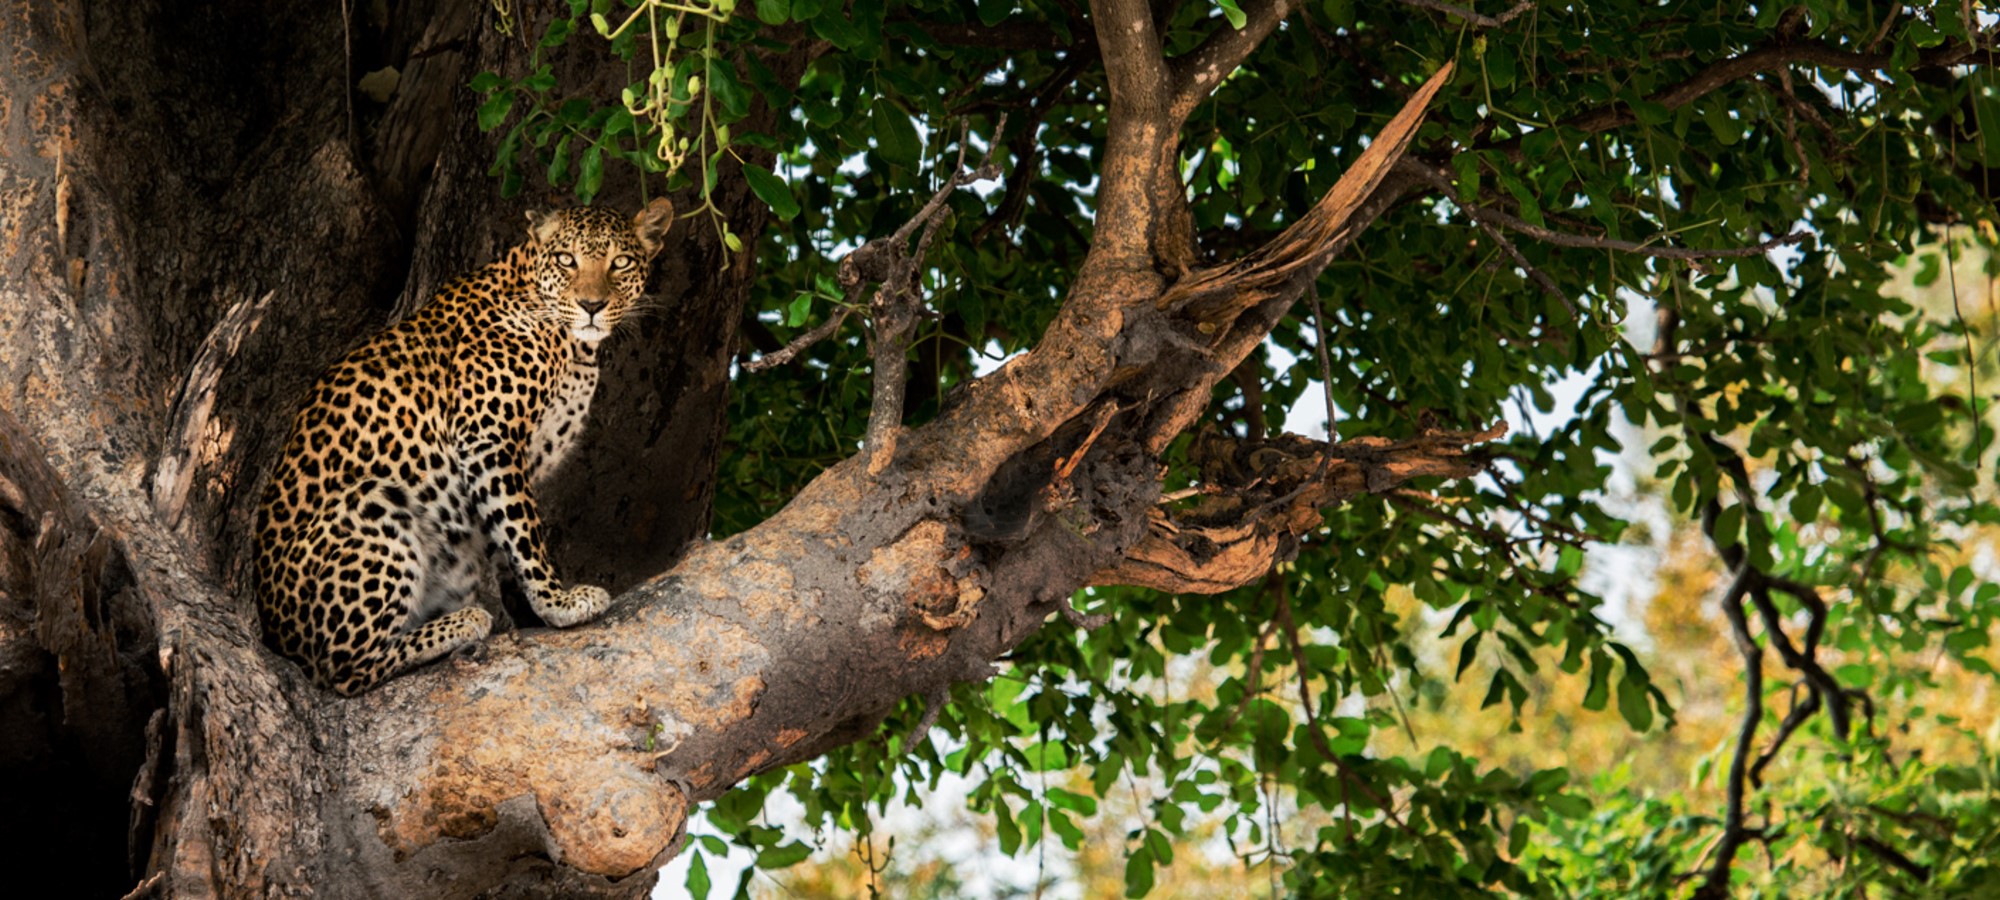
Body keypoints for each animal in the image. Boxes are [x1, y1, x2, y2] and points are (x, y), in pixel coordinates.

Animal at [254, 199, 676, 696]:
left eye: (621, 262)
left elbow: (506, 535)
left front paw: (533, 611)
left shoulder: (506, 461)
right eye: (566, 260)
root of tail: (274, 633)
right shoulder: (488, 436)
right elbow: (526, 532)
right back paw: (461, 623)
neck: (574, 346)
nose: (592, 305)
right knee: (342, 669)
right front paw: (559, 602)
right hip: (372, 501)